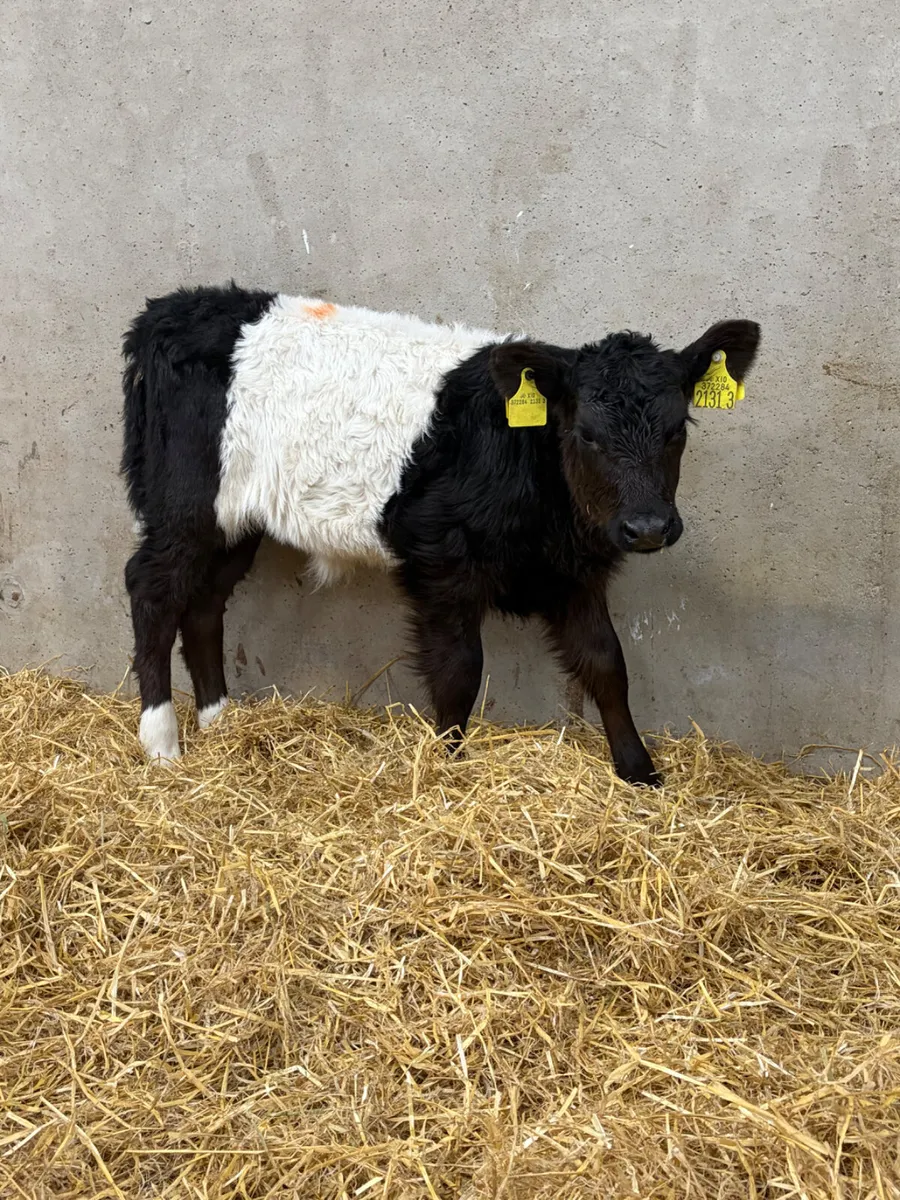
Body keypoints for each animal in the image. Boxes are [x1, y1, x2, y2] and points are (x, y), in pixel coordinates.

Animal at [121, 284, 760, 784]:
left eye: (678, 430)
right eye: (587, 434)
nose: (647, 527)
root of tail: (171, 310)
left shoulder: (573, 572)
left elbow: (607, 663)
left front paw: (639, 771)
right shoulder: (442, 559)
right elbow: (459, 671)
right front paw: (448, 769)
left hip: (237, 523)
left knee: (204, 606)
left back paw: (220, 723)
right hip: (185, 507)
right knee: (152, 588)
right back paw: (163, 744)